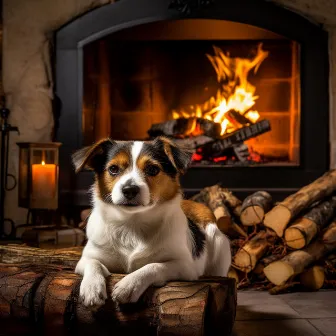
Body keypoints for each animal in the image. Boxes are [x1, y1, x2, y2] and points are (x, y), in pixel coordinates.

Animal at [73, 136, 231, 308]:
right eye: (113, 169)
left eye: (153, 169)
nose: (129, 189)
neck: (133, 223)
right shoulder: (86, 258)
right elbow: (93, 264)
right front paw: (92, 288)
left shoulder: (186, 266)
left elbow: (153, 266)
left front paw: (129, 285)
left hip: (218, 243)